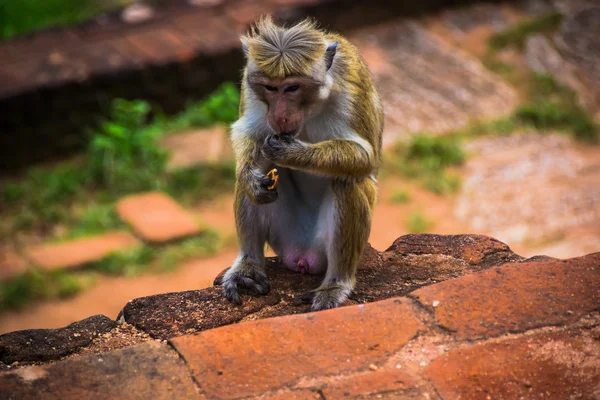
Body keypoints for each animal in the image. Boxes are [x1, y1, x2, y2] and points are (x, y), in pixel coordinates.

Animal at [221, 15, 384, 310]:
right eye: (270, 88)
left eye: (292, 88)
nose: (280, 116)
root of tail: (302, 257)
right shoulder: (249, 86)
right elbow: (249, 132)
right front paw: (251, 178)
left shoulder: (352, 83)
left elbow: (365, 158)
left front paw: (290, 152)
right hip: (284, 236)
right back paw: (248, 266)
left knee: (346, 182)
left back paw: (336, 283)